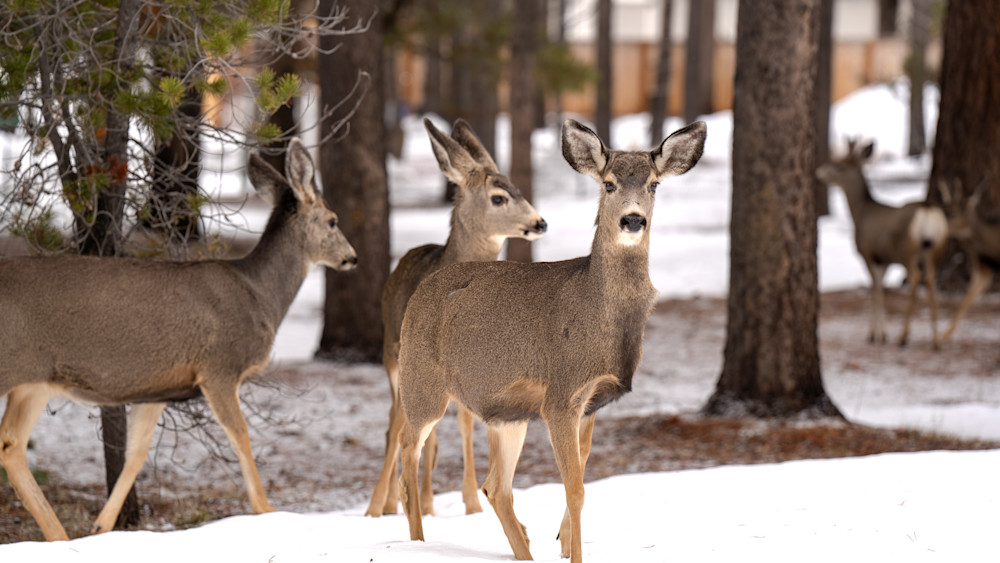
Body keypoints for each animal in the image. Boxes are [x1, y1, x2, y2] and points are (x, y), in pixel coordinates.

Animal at [0, 138, 357, 541]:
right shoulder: (219, 367)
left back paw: (59, 536)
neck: (258, 294)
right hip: (11, 365)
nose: (352, 257)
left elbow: (136, 453)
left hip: (34, 381)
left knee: (10, 445)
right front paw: (266, 509)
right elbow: (242, 435)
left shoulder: (159, 387)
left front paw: (101, 526)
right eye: (333, 220)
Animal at [366, 118, 547, 518]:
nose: (540, 223)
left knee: (425, 431)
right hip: (393, 354)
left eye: (518, 188)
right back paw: (381, 503)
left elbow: (467, 424)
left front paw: (471, 501)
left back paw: (423, 501)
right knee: (394, 422)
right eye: (499, 197)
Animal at [394, 119, 706, 563]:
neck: (600, 311)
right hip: (422, 383)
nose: (632, 220)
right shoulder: (562, 393)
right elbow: (575, 489)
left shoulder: (591, 402)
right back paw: (418, 544)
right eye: (609, 184)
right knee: (409, 451)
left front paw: (561, 540)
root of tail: (422, 288)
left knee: (496, 486)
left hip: (509, 411)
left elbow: (579, 481)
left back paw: (521, 550)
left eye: (654, 185)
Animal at [816, 139, 948, 349]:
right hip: (933, 249)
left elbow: (875, 289)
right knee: (931, 279)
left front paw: (875, 334)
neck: (861, 213)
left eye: (839, 165)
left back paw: (903, 336)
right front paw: (881, 333)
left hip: (907, 250)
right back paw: (935, 340)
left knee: (914, 278)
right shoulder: (884, 259)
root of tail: (927, 210)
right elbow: (881, 288)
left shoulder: (867, 252)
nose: (819, 173)